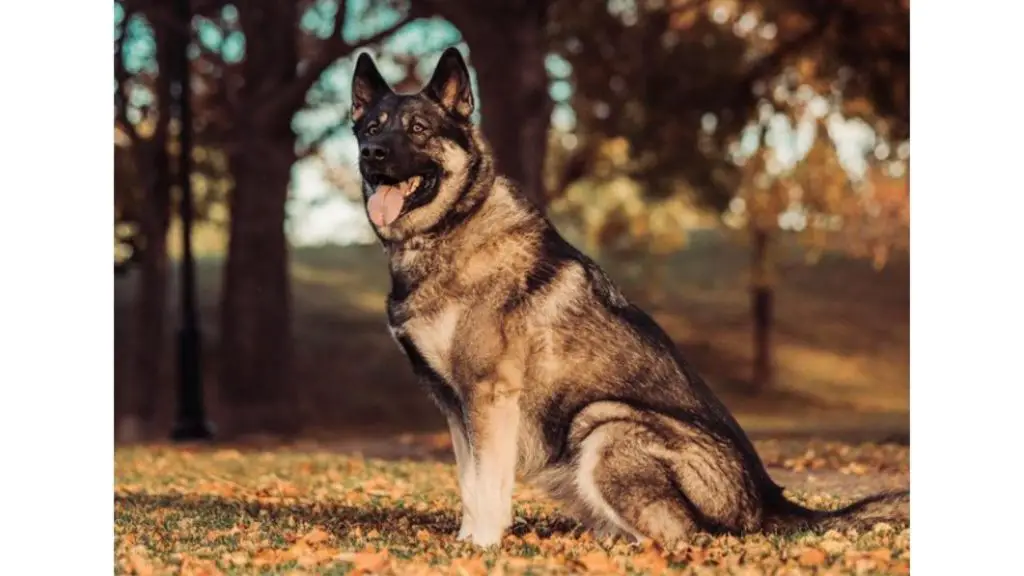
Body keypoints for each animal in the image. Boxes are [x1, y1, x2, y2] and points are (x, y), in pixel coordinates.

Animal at [348, 47, 909, 545]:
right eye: (372, 128)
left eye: (418, 129)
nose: (371, 154)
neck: (451, 227)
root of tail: (769, 503)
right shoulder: (454, 405)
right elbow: (470, 483)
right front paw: (467, 542)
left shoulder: (487, 396)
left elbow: (488, 485)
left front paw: (483, 547)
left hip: (603, 424)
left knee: (684, 537)